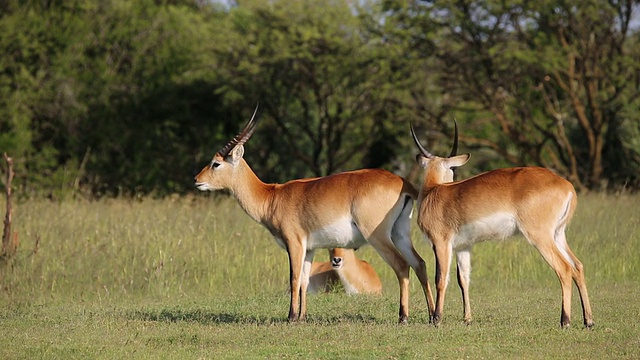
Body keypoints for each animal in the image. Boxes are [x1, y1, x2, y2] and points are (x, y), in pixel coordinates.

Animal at [194, 105, 436, 322]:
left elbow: (293, 278)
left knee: (402, 265)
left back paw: (403, 317)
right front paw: (302, 317)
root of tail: (404, 183)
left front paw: (291, 317)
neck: (272, 197)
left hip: (378, 236)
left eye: (215, 163)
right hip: (400, 233)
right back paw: (433, 316)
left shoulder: (294, 243)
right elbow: (303, 280)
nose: (197, 180)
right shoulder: (309, 248)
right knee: (420, 263)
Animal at [410, 123, 596, 330]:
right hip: (557, 234)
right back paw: (588, 321)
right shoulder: (463, 246)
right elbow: (463, 279)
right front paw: (467, 319)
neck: (432, 191)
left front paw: (436, 318)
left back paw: (565, 321)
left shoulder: (441, 242)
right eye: (452, 169)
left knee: (564, 268)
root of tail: (567, 186)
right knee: (578, 266)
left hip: (540, 236)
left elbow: (441, 278)